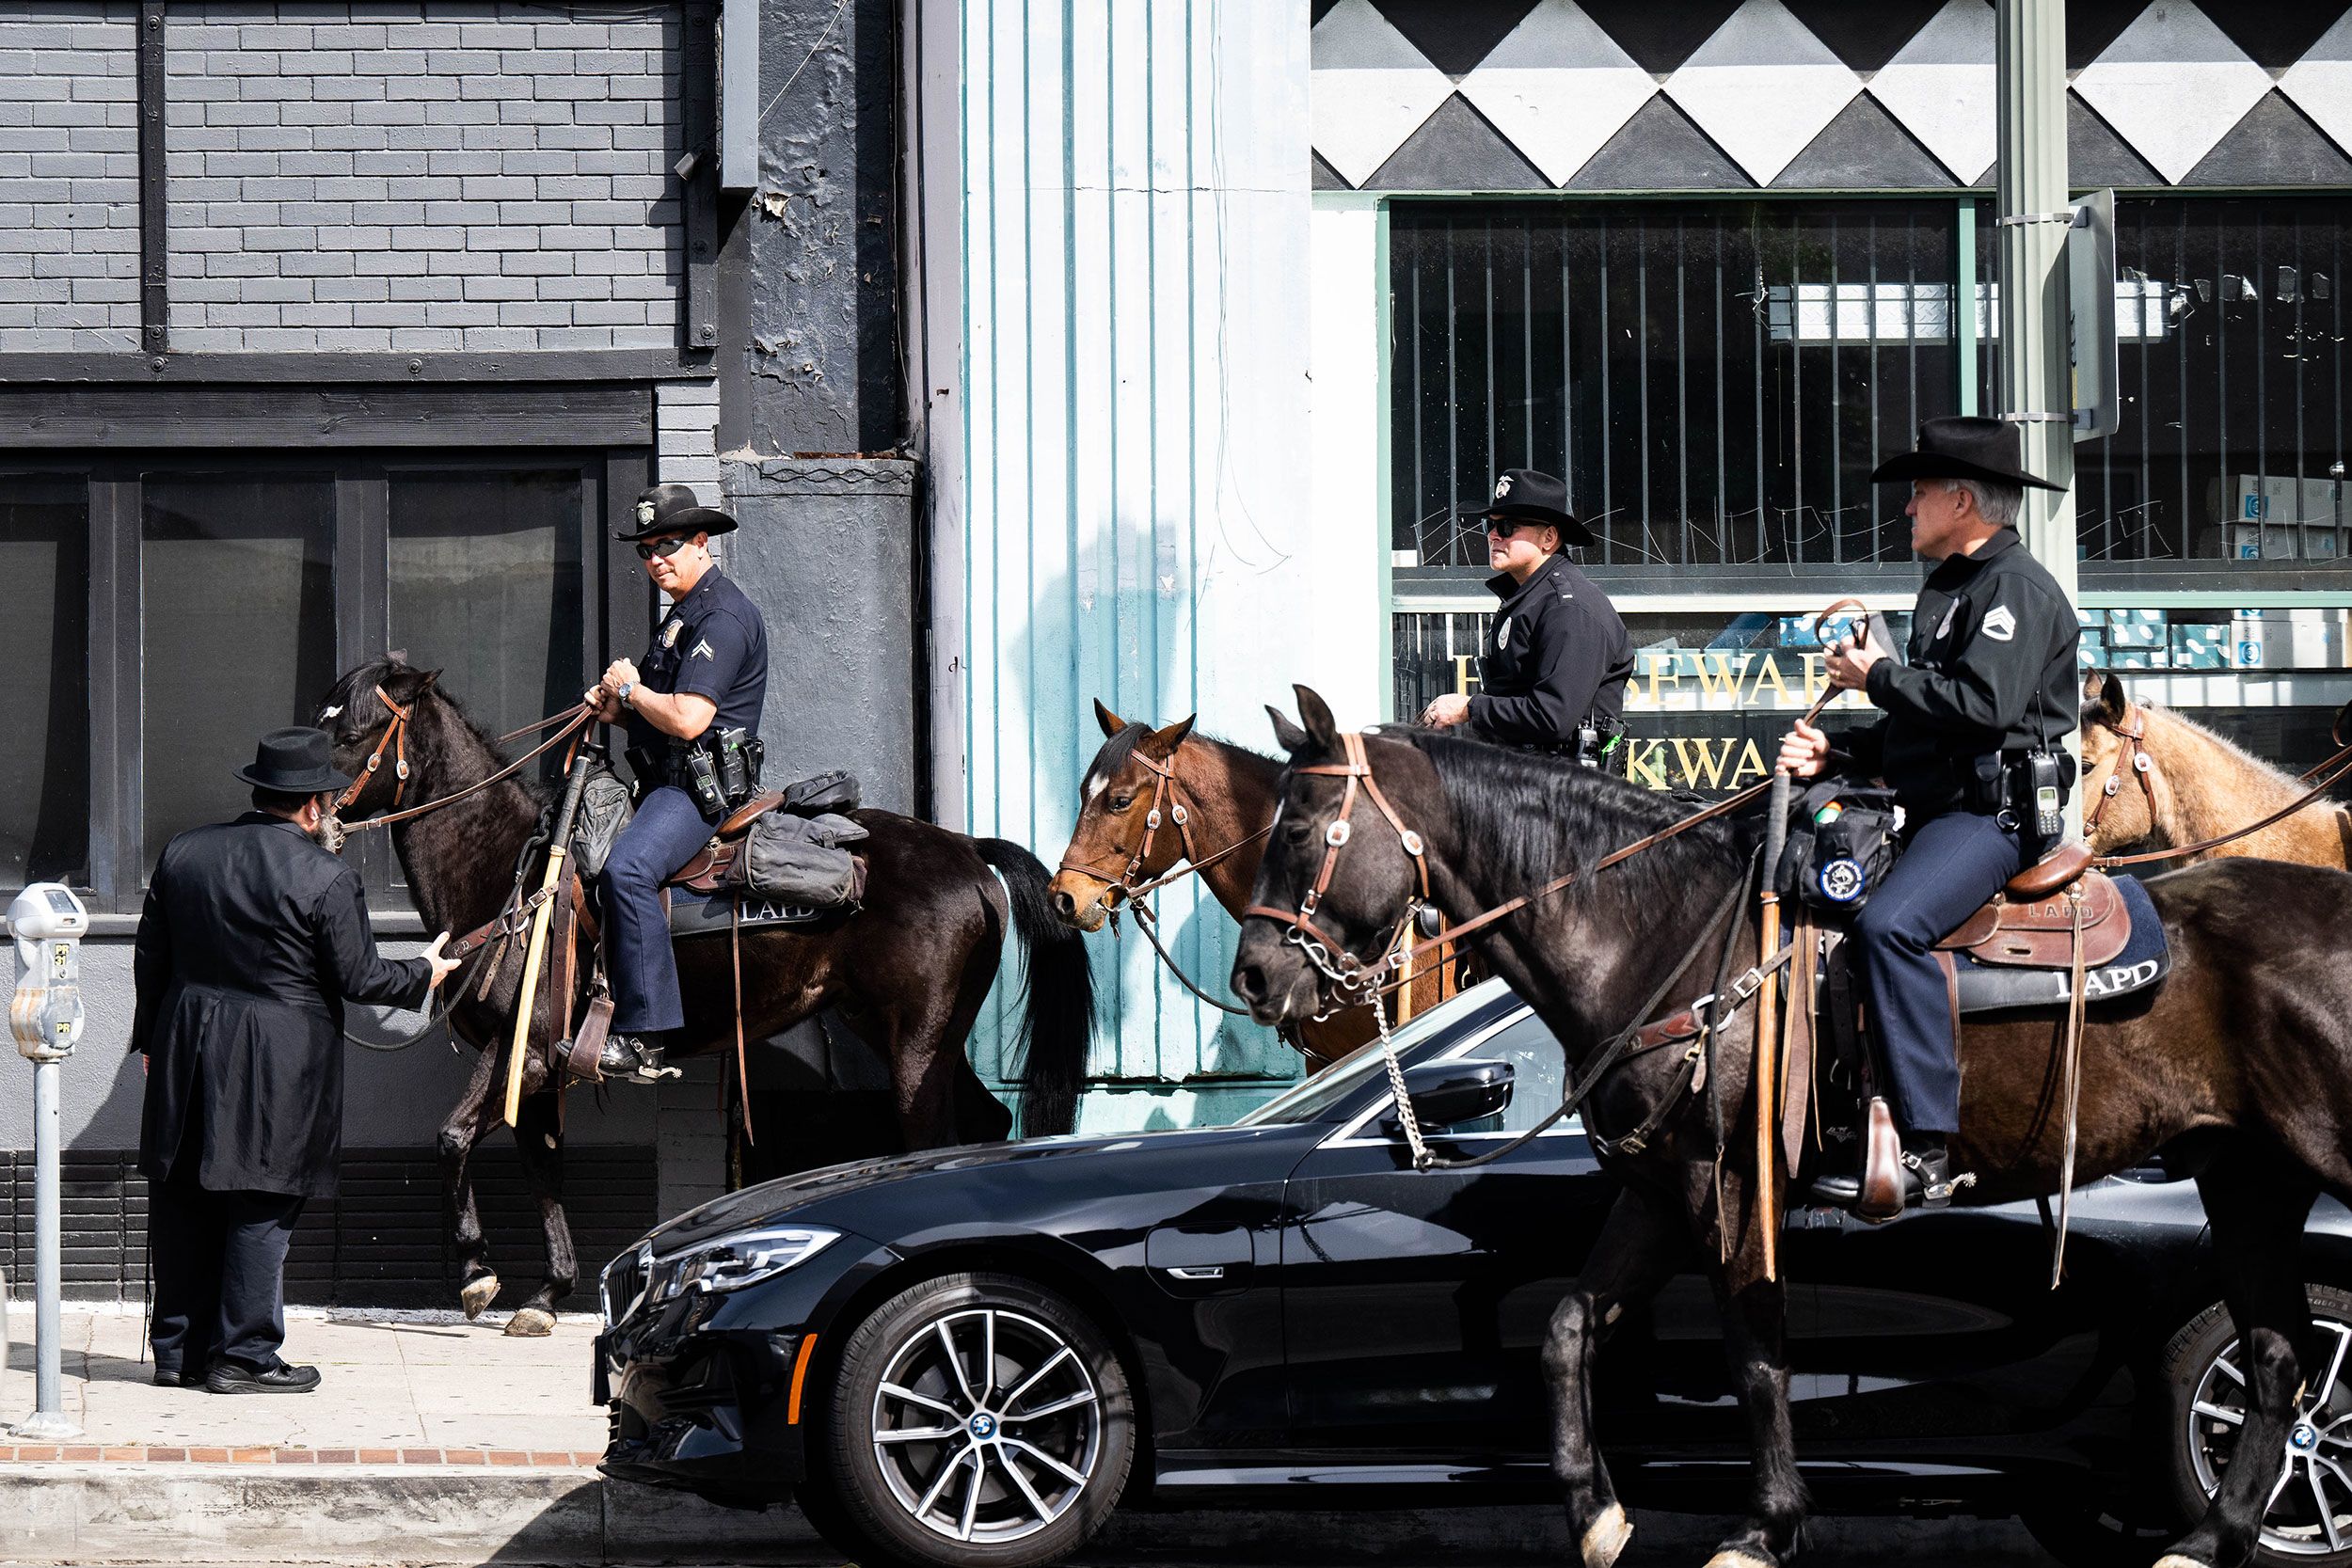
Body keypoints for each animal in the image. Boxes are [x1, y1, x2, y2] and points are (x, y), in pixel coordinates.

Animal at [317, 657, 1096, 1335]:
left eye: (351, 733)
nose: (310, 813)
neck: (517, 872)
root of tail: (966, 849)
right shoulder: (534, 1067)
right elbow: (542, 1162)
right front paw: (547, 1293)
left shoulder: (524, 1051)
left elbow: (451, 1138)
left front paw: (479, 1274)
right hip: (913, 1031)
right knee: (987, 1121)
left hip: (916, 1042)